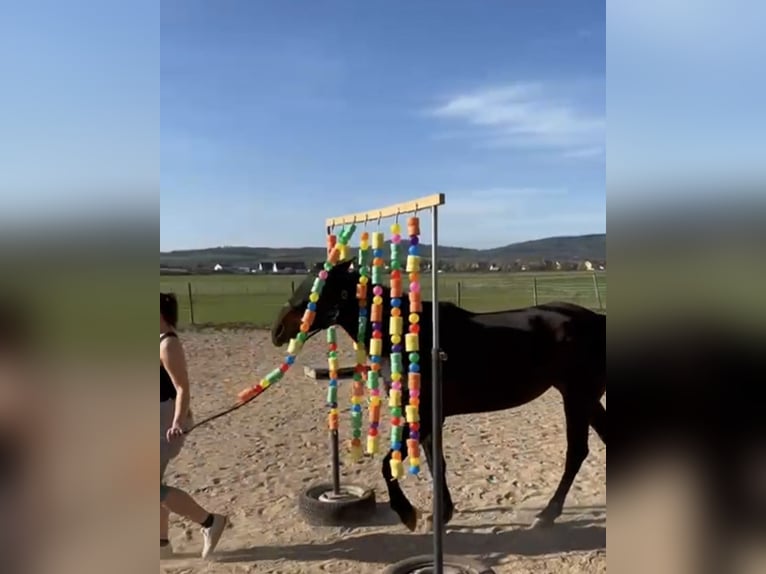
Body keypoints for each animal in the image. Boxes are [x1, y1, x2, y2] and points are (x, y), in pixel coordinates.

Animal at [270, 259, 606, 531]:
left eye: (319, 287)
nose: (278, 331)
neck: (409, 338)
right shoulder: (428, 417)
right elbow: (435, 464)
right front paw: (442, 513)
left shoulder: (425, 414)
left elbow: (391, 464)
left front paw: (408, 513)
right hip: (585, 399)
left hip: (577, 397)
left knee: (576, 452)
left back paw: (548, 514)